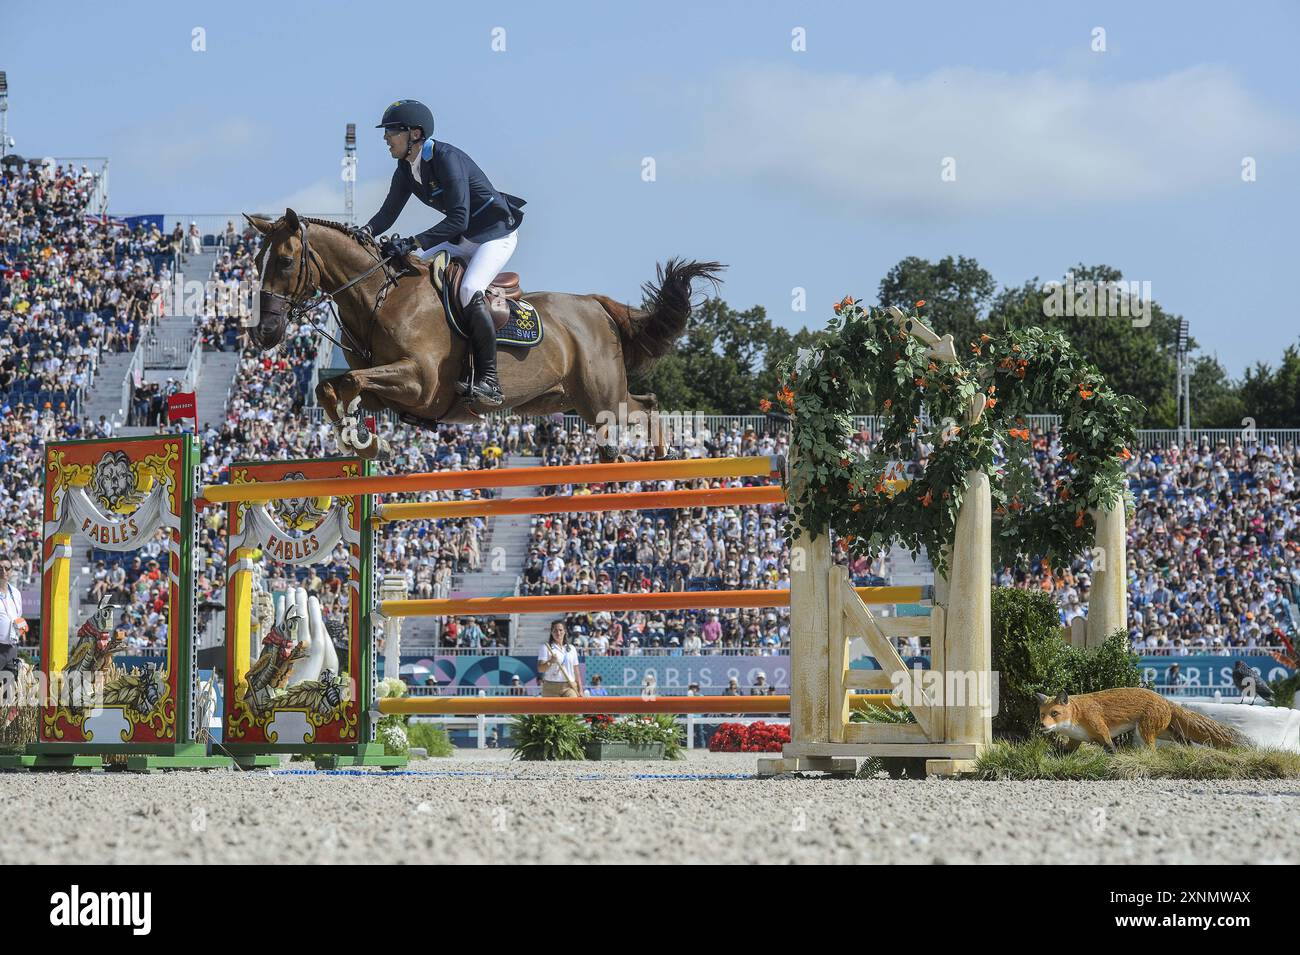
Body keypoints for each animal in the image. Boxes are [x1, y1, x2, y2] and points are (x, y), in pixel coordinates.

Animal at [244, 210, 722, 462]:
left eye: (284, 261)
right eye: (255, 262)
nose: (264, 333)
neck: (378, 298)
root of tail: (595, 304)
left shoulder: (420, 382)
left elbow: (349, 381)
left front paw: (357, 435)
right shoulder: (394, 393)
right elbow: (333, 386)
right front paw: (359, 438)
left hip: (601, 397)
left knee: (645, 409)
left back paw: (658, 461)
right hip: (564, 400)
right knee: (640, 407)